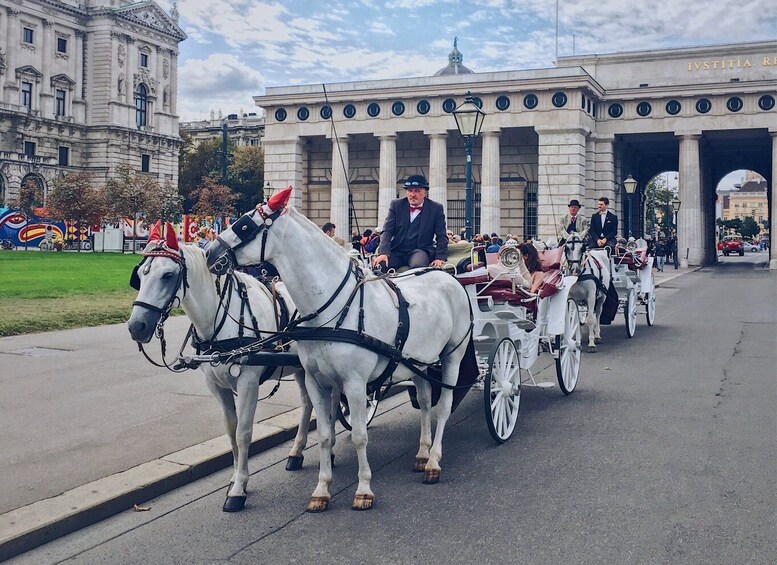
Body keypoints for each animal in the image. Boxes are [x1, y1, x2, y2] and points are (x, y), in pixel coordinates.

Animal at [126, 221, 310, 512]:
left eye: (167, 275)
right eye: (139, 276)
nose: (137, 327)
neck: (220, 320)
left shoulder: (248, 384)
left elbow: (244, 433)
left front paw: (238, 489)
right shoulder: (216, 385)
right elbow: (231, 432)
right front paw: (236, 478)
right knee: (308, 405)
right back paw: (297, 452)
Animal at [206, 188, 472, 512]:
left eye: (244, 225)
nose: (209, 253)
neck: (331, 307)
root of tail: (446, 274)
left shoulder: (355, 384)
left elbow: (359, 435)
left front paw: (364, 489)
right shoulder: (316, 380)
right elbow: (323, 434)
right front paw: (321, 489)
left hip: (452, 356)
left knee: (443, 406)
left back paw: (433, 461)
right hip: (419, 362)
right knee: (423, 401)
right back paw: (422, 453)